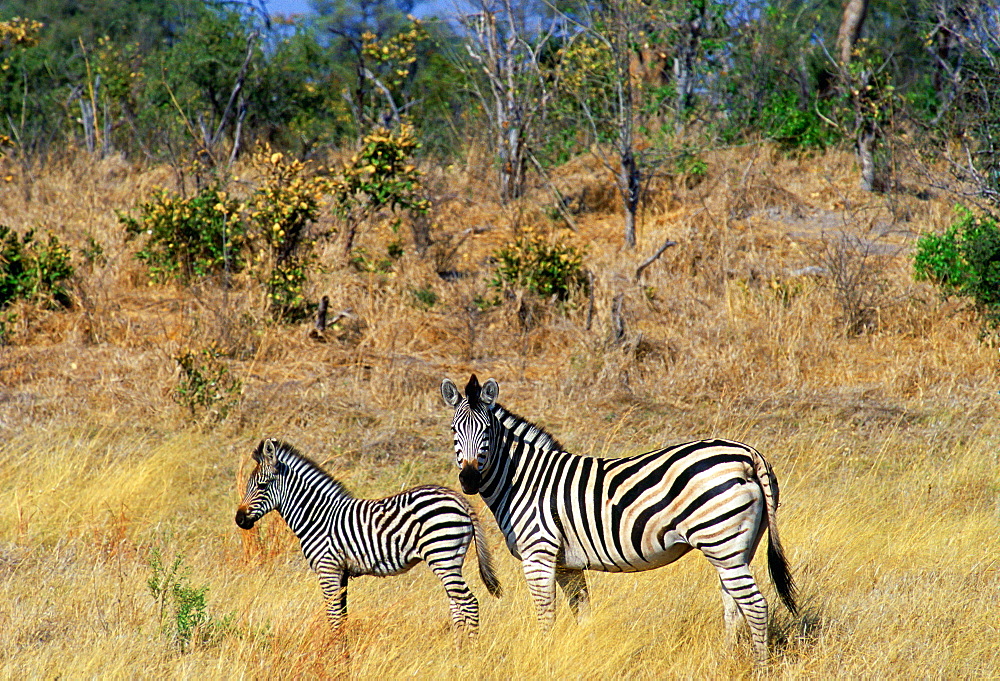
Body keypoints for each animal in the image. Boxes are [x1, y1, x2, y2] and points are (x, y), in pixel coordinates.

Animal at [233, 438, 500, 636]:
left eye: (262, 486)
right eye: (249, 485)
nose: (239, 519)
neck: (317, 516)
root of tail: (458, 498)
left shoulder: (328, 569)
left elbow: (334, 619)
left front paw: (337, 659)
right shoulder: (341, 573)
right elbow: (342, 617)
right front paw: (344, 655)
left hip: (442, 555)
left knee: (469, 603)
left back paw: (469, 652)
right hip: (451, 561)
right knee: (457, 606)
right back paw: (458, 651)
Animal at [442, 374, 800, 660]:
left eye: (487, 432)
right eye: (454, 430)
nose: (469, 480)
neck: (523, 479)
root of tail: (747, 454)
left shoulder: (539, 554)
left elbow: (546, 616)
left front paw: (544, 655)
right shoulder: (567, 564)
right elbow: (582, 614)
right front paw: (583, 654)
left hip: (721, 540)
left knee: (755, 606)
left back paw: (759, 665)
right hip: (736, 547)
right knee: (733, 604)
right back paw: (726, 658)